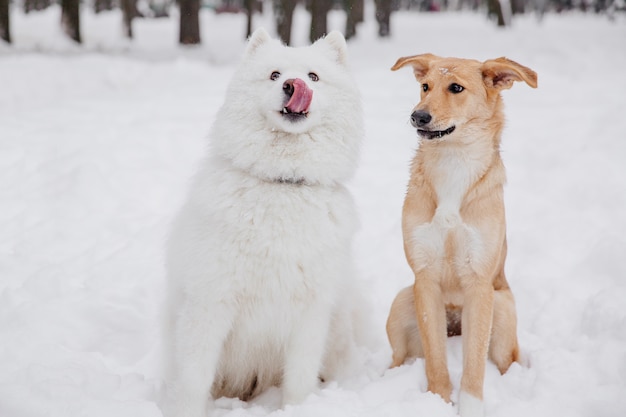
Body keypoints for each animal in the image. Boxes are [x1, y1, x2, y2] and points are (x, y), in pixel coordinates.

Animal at [163, 27, 364, 414]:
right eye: (274, 75)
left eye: (314, 76)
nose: (293, 84)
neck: (282, 183)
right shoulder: (210, 303)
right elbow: (194, 379)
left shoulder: (310, 313)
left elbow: (299, 380)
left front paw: (297, 409)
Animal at [382, 54, 532, 416]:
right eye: (425, 86)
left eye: (456, 88)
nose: (418, 115)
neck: (453, 160)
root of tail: (455, 326)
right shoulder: (424, 280)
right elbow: (435, 356)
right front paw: (437, 400)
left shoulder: (479, 284)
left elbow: (475, 363)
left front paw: (470, 406)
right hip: (401, 304)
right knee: (400, 356)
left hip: (502, 309)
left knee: (505, 360)